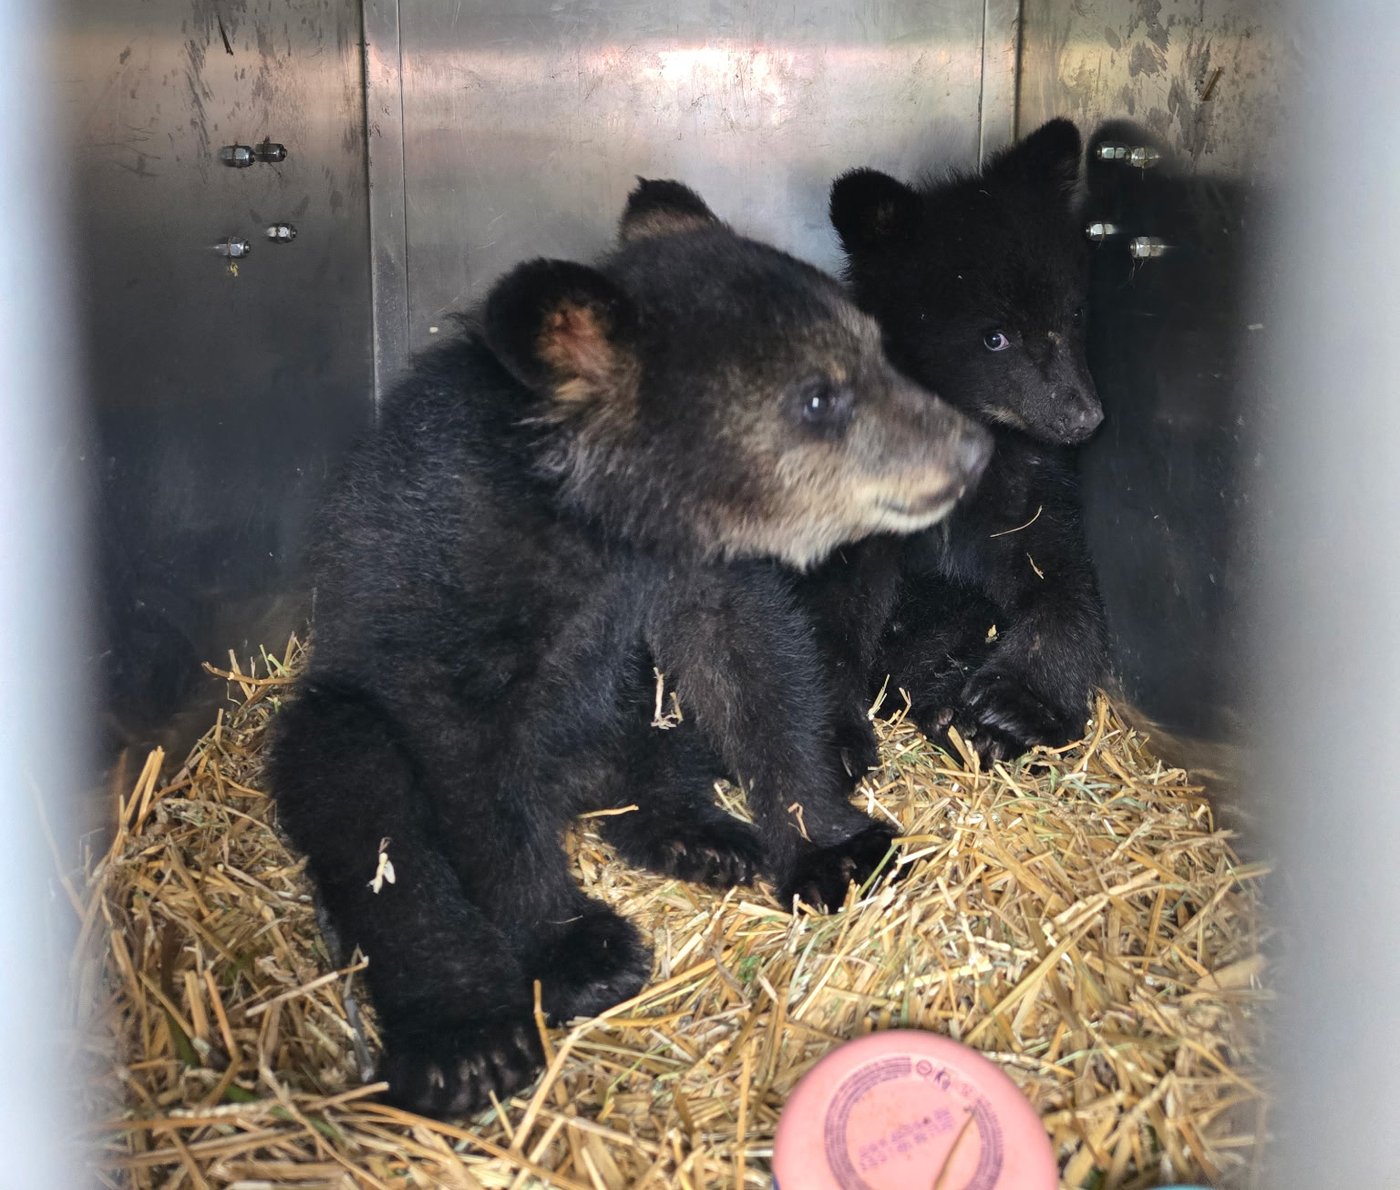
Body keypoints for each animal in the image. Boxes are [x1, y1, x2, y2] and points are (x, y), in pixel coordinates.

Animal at [265, 178, 991, 1118]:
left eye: (877, 348)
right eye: (817, 397)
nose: (972, 447)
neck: (600, 524)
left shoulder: (690, 580)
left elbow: (755, 673)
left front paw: (835, 847)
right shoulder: (454, 593)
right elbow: (469, 787)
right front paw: (574, 947)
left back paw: (706, 837)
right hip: (343, 708)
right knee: (360, 795)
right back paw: (467, 1045)